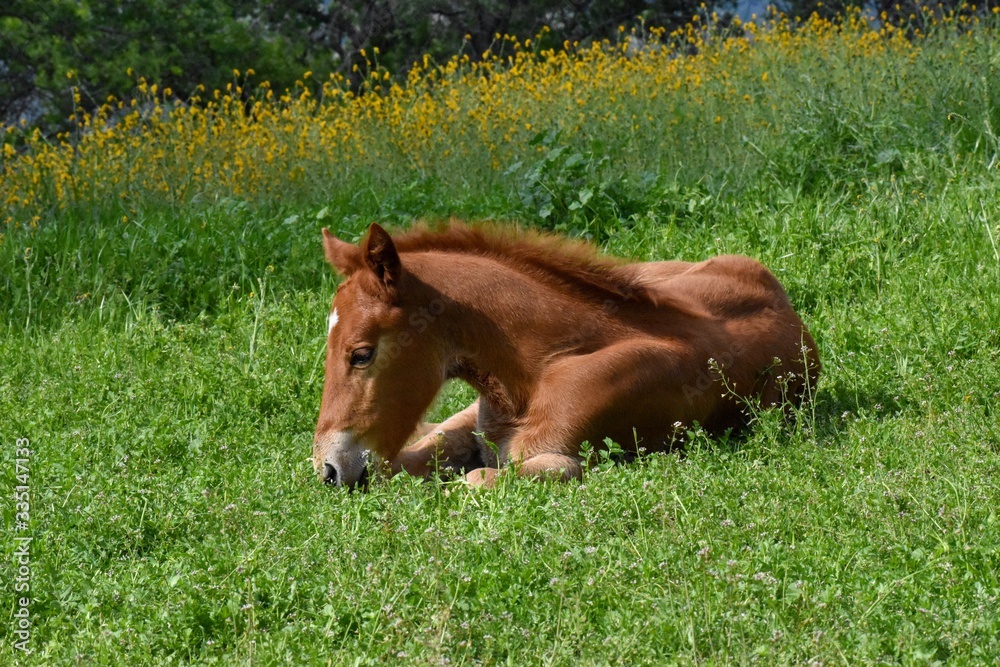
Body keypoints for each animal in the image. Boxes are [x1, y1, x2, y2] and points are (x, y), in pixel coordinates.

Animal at [313, 221, 820, 488]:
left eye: (361, 354)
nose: (329, 469)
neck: (536, 370)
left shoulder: (564, 461)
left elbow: (475, 478)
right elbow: (403, 463)